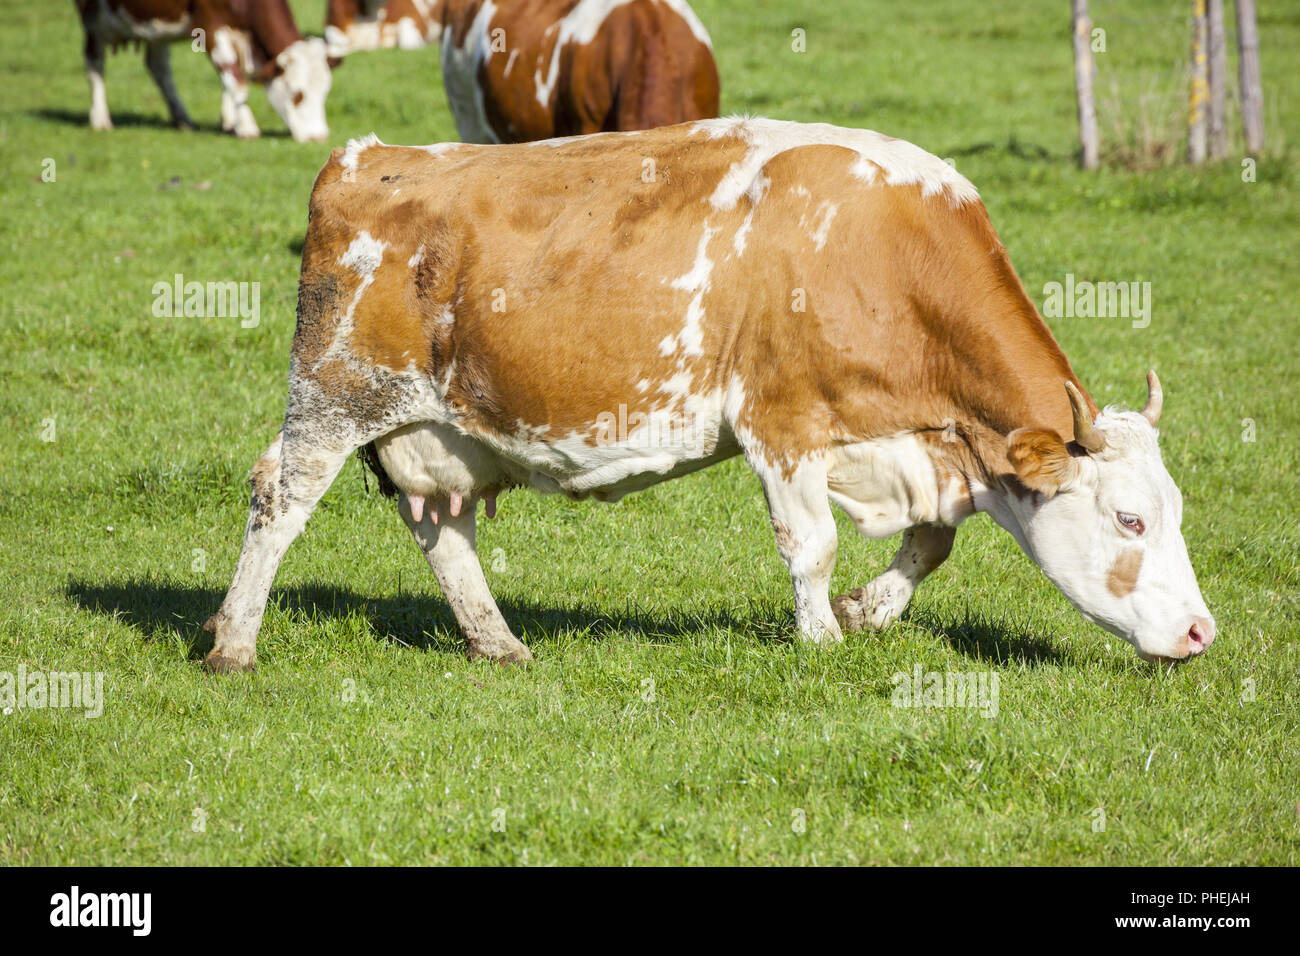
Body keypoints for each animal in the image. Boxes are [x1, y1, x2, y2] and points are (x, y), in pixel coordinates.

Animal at [74, 0, 332, 142]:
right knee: (94, 61)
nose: (318, 137)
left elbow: (230, 78)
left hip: (156, 29)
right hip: (92, 18)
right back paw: (100, 118)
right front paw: (247, 127)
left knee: (158, 67)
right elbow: (236, 81)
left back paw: (183, 119)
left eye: (324, 94)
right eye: (296, 94)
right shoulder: (210, 24)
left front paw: (229, 121)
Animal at [202, 117, 1216, 673]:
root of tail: (371, 155)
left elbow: (933, 541)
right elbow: (812, 545)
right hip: (334, 397)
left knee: (443, 531)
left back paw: (498, 643)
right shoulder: (781, 421)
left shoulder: (916, 442)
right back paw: (234, 643)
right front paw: (824, 638)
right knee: (278, 498)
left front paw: (868, 610)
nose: (1201, 632)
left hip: (444, 431)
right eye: (1129, 519)